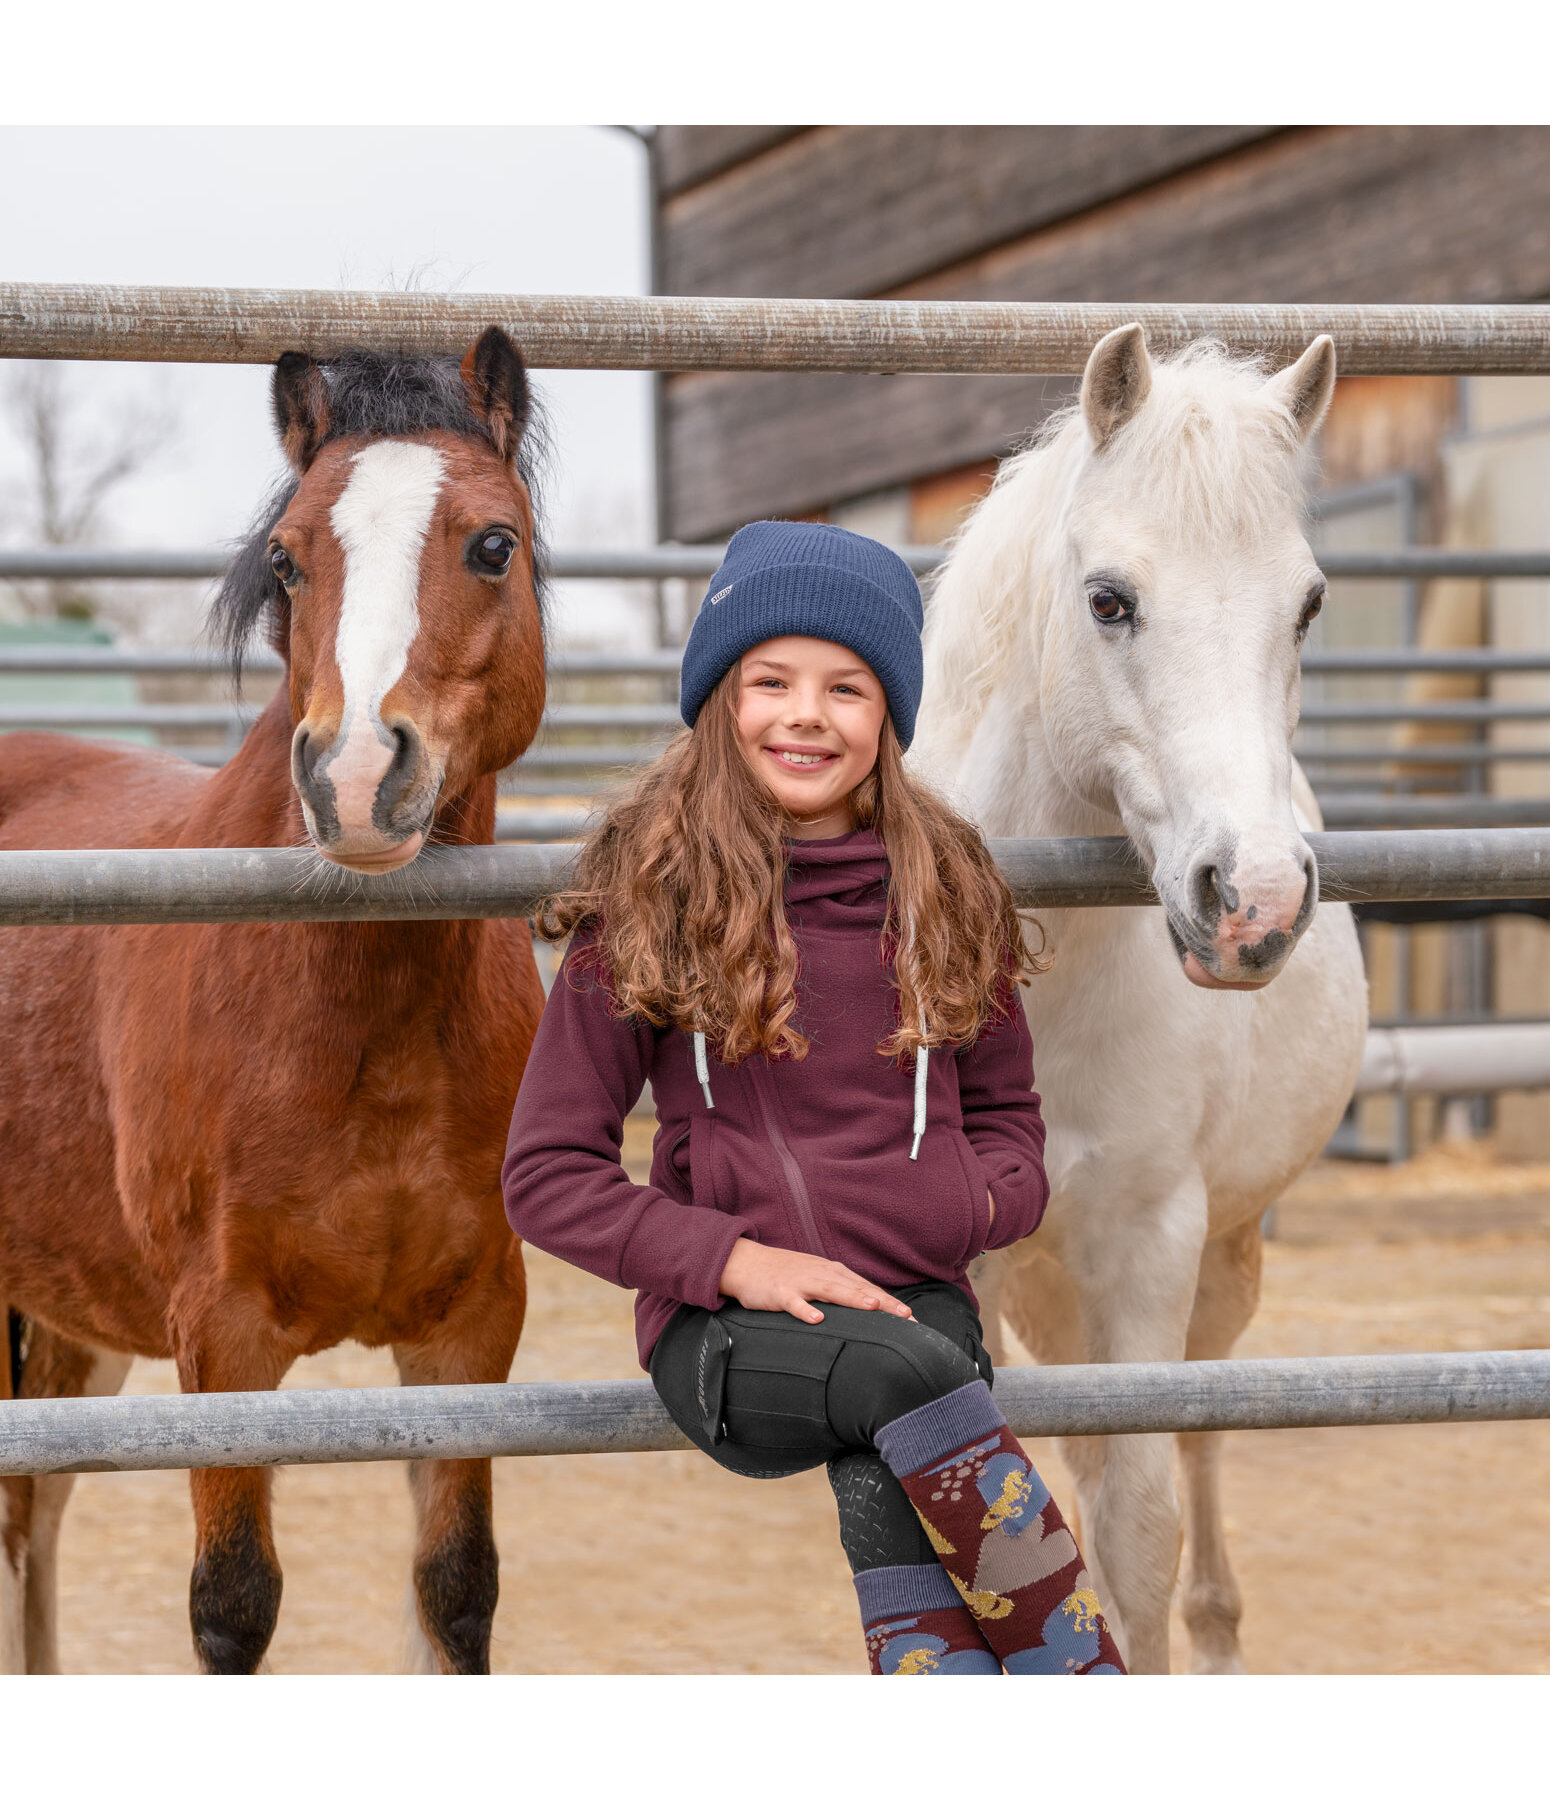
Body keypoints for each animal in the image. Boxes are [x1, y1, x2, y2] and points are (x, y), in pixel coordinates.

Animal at [0, 327, 550, 1670]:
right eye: (290, 560)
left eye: (492, 544)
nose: (352, 780)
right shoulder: (223, 1336)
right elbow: (232, 1604)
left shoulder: (471, 1325)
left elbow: (456, 1589)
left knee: (36, 1509)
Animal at [907, 327, 1368, 1670]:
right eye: (1107, 600)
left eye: (1306, 604)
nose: (1254, 899)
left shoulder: (1151, 1241)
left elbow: (1137, 1528)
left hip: (1216, 1262)